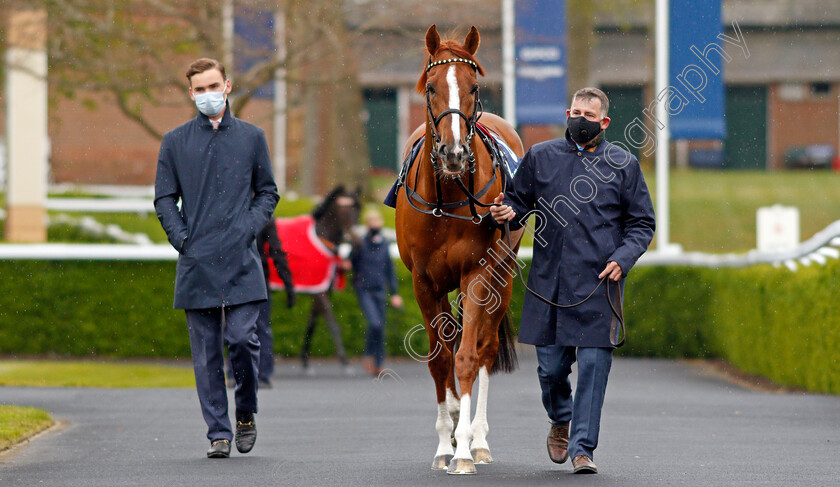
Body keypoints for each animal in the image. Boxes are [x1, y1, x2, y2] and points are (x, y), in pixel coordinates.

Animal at [396, 24, 524, 474]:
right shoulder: (423, 281)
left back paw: (478, 438)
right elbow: (440, 360)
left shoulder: (478, 274)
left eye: (473, 87)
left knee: (485, 349)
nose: (453, 153)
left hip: (503, 277)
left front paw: (465, 448)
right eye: (432, 85)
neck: (450, 196)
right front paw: (444, 440)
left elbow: (468, 356)